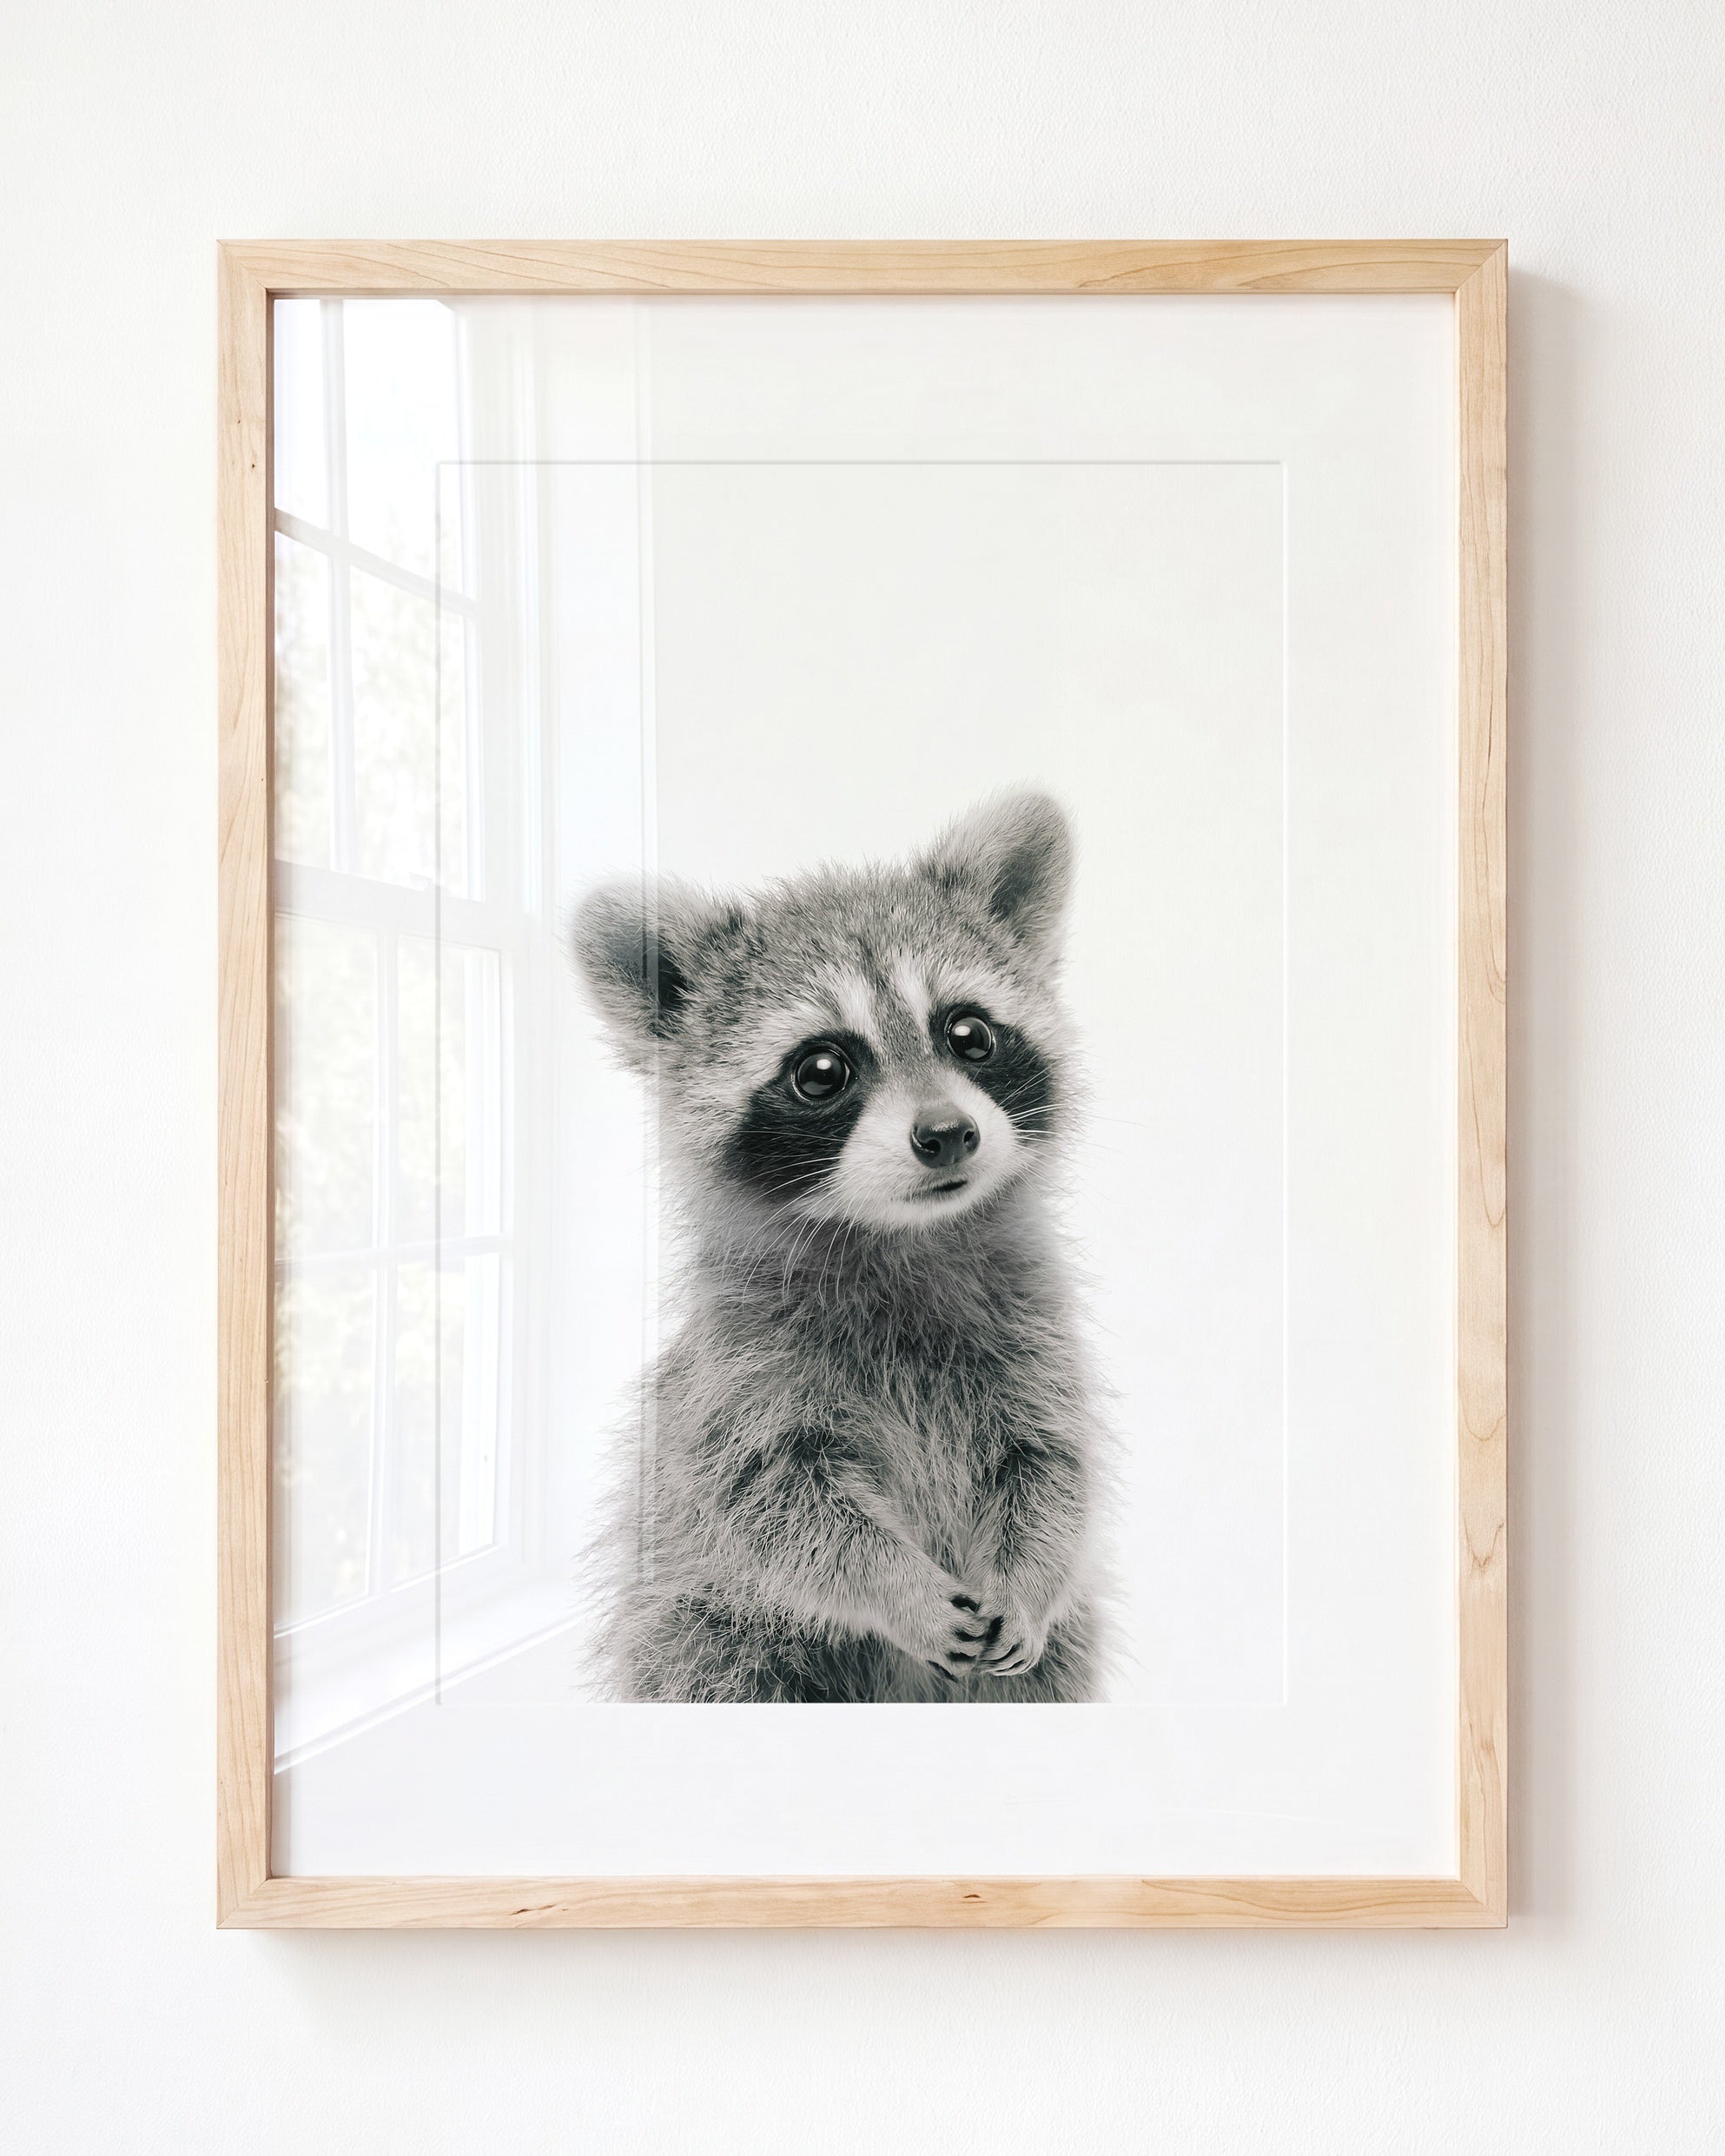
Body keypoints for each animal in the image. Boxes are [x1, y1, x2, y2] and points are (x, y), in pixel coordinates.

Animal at [569, 791, 1106, 1702]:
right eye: (821, 1070)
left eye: (969, 1034)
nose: (947, 1134)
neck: (901, 1237)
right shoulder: (738, 1378)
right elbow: (776, 1507)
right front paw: (899, 1589)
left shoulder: (1036, 1338)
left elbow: (1052, 1466)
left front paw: (1029, 1579)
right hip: (708, 1630)